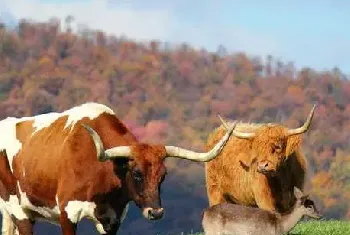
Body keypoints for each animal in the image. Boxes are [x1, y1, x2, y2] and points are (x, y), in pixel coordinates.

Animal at [0, 103, 237, 235]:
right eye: (137, 173)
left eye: (163, 176)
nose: (156, 212)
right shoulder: (68, 213)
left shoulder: (114, 219)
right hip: (16, 207)